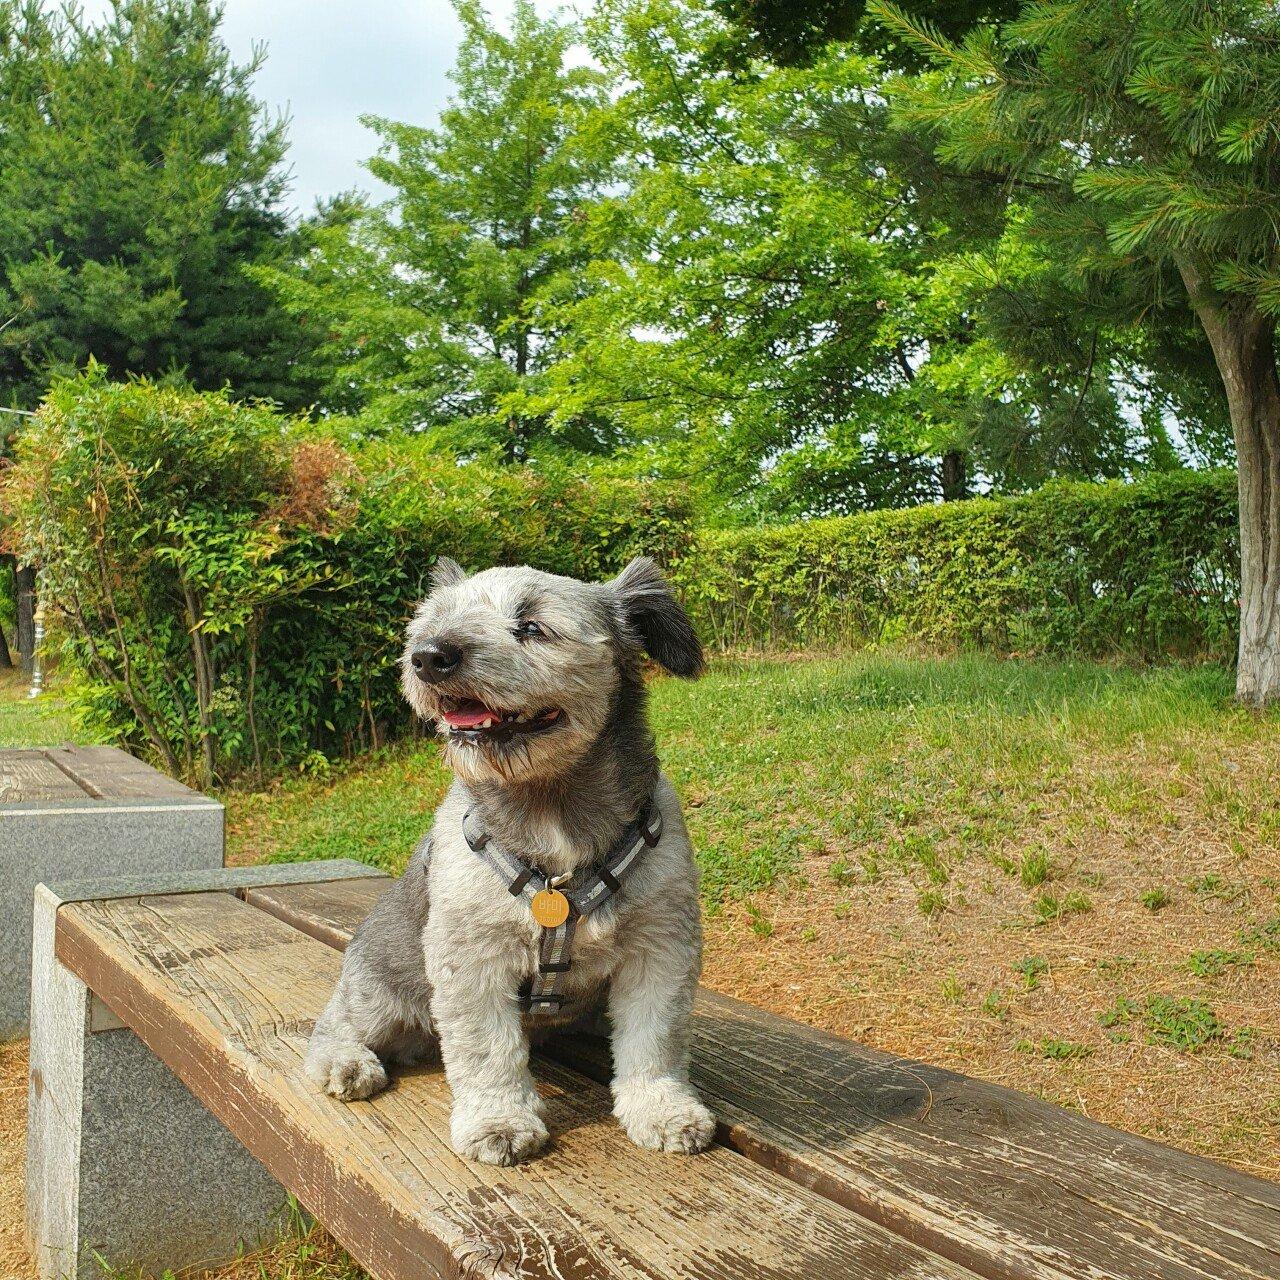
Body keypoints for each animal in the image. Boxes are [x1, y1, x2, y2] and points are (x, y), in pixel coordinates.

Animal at [303, 555, 716, 1167]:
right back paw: (344, 1061)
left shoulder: (659, 947)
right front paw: (497, 1120)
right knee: (331, 1024)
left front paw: (661, 1107)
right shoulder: (473, 960)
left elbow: (654, 1040)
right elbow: (487, 1050)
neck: (551, 816)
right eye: (433, 622)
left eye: (531, 627)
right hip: (381, 990)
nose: (429, 656)